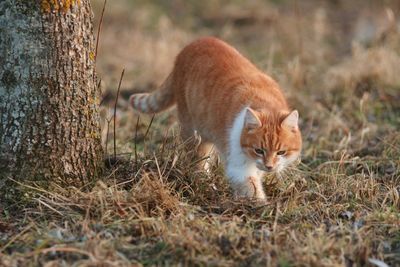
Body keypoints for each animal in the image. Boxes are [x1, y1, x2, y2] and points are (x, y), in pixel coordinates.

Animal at [130, 37, 302, 201]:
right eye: (258, 150)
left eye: (281, 152)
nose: (269, 167)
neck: (265, 103)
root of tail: (190, 46)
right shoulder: (239, 167)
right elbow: (251, 187)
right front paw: (259, 206)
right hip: (192, 131)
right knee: (197, 161)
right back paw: (203, 181)